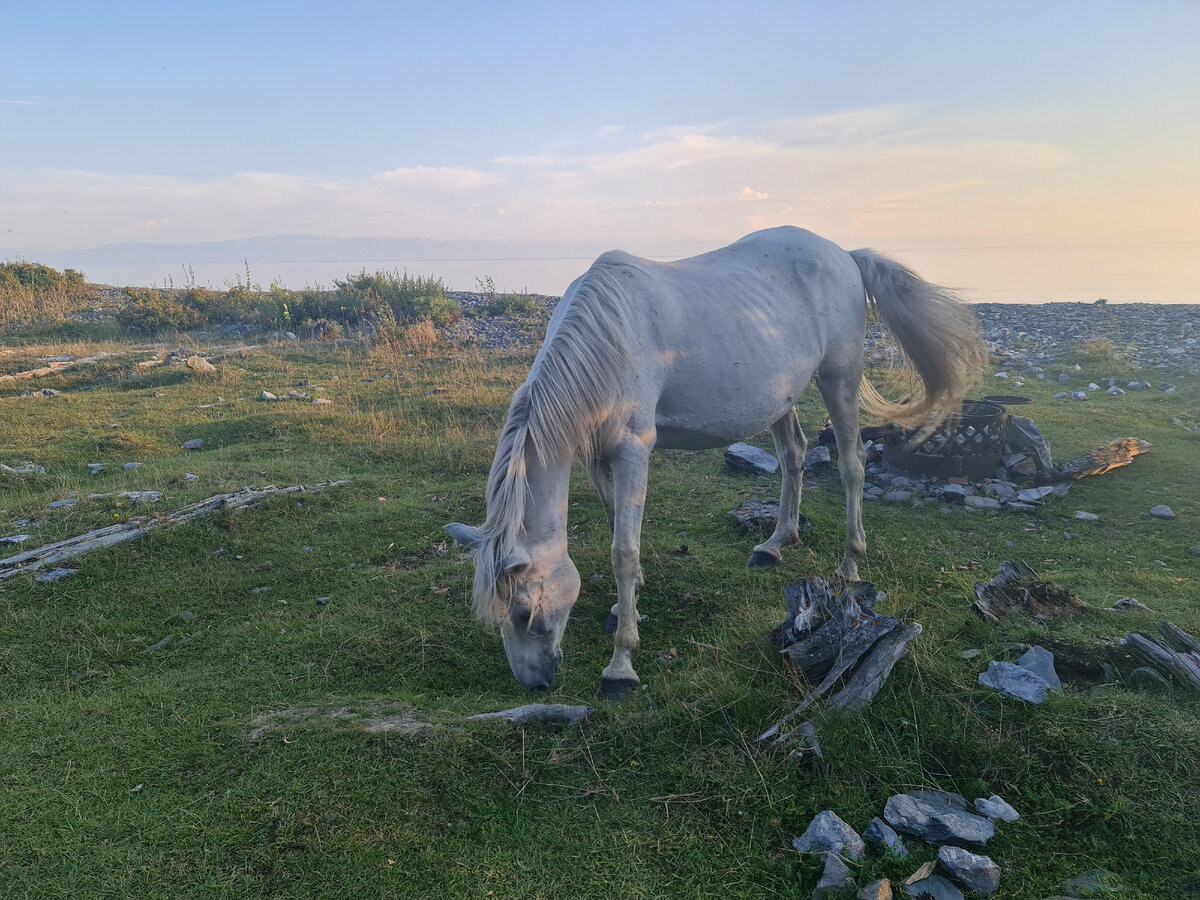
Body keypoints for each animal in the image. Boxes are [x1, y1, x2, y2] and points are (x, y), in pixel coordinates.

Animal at [446, 225, 979, 696]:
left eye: (523, 613)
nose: (534, 683)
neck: (606, 339)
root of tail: (843, 254)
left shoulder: (633, 452)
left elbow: (623, 551)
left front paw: (621, 664)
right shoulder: (598, 456)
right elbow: (617, 522)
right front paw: (627, 607)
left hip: (839, 379)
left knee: (853, 465)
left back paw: (850, 563)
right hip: (780, 397)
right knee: (793, 455)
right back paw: (775, 543)